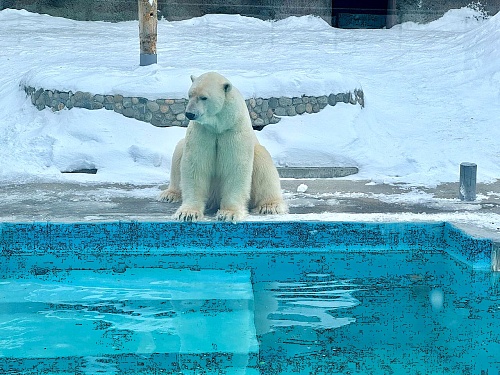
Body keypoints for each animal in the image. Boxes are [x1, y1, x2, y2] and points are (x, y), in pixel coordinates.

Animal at [158, 72, 288, 222]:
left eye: (204, 97)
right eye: (190, 95)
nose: (189, 113)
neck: (218, 126)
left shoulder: (233, 131)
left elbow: (235, 167)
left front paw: (228, 213)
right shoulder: (202, 132)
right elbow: (195, 166)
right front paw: (187, 213)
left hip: (257, 153)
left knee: (263, 161)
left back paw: (270, 206)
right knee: (179, 150)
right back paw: (169, 194)